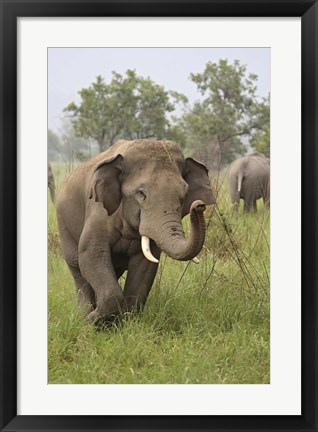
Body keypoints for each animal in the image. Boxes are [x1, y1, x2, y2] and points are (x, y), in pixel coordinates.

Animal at [56, 138, 216, 324]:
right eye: (141, 194)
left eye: (184, 195)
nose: (199, 205)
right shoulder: (97, 211)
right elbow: (91, 254)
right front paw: (93, 321)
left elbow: (144, 266)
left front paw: (125, 322)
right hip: (64, 227)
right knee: (78, 270)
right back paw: (83, 316)